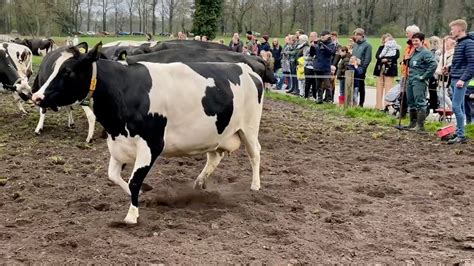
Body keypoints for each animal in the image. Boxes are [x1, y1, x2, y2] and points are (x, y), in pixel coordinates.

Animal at [32, 43, 262, 224]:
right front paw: (142, 194)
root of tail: (246, 68)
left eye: (68, 71)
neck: (125, 89)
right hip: (215, 135)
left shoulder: (151, 144)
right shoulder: (118, 143)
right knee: (214, 157)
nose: (36, 96)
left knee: (255, 154)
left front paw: (132, 215)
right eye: (55, 69)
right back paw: (199, 183)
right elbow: (114, 177)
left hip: (250, 128)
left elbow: (134, 180)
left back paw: (255, 186)